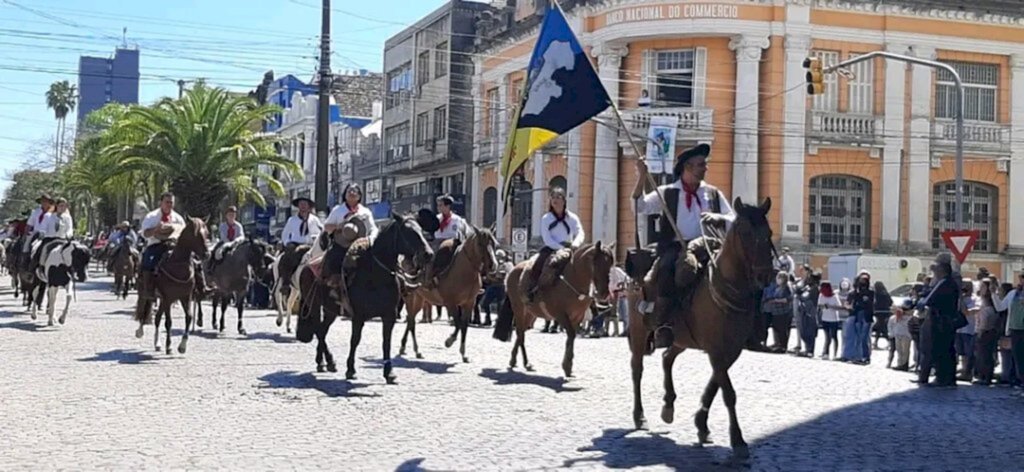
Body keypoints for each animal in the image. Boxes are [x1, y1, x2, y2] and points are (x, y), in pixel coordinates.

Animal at [134, 217, 209, 352]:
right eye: (195, 234)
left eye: (207, 233)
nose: (207, 254)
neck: (177, 265)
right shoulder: (168, 298)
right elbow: (168, 322)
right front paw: (168, 346)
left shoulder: (185, 297)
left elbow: (189, 317)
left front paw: (182, 345)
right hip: (146, 294)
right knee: (144, 311)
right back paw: (140, 331)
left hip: (162, 300)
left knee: (157, 318)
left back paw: (157, 343)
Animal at [294, 211, 430, 380]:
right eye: (409, 232)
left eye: (421, 230)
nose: (428, 254)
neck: (375, 274)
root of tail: (306, 266)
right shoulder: (358, 316)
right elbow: (355, 340)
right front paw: (350, 369)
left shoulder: (389, 315)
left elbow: (386, 342)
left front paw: (389, 372)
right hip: (314, 305)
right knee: (319, 330)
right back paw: (329, 361)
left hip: (331, 310)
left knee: (323, 330)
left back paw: (324, 362)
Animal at [397, 225, 497, 360]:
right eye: (480, 244)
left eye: (493, 243)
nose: (493, 265)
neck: (463, 271)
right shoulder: (450, 303)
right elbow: (458, 324)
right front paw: (449, 341)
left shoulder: (469, 303)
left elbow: (464, 326)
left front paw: (463, 354)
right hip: (410, 297)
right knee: (411, 321)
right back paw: (413, 349)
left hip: (420, 299)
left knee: (410, 319)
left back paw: (410, 349)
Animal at [493, 240, 614, 376]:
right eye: (596, 263)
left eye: (610, 264)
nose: (604, 293)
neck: (572, 279)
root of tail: (513, 270)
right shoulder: (560, 315)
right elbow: (571, 334)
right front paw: (567, 365)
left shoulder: (577, 317)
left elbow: (571, 337)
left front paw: (568, 366)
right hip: (518, 309)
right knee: (520, 333)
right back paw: (521, 361)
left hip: (530, 313)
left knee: (521, 333)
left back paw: (521, 362)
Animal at [622, 196, 774, 458]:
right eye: (745, 231)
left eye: (769, 232)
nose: (766, 276)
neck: (724, 289)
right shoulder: (716, 350)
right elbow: (728, 392)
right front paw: (738, 440)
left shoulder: (731, 350)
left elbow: (715, 385)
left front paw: (701, 425)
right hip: (641, 333)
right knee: (637, 369)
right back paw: (639, 416)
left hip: (681, 338)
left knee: (667, 357)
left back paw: (668, 405)